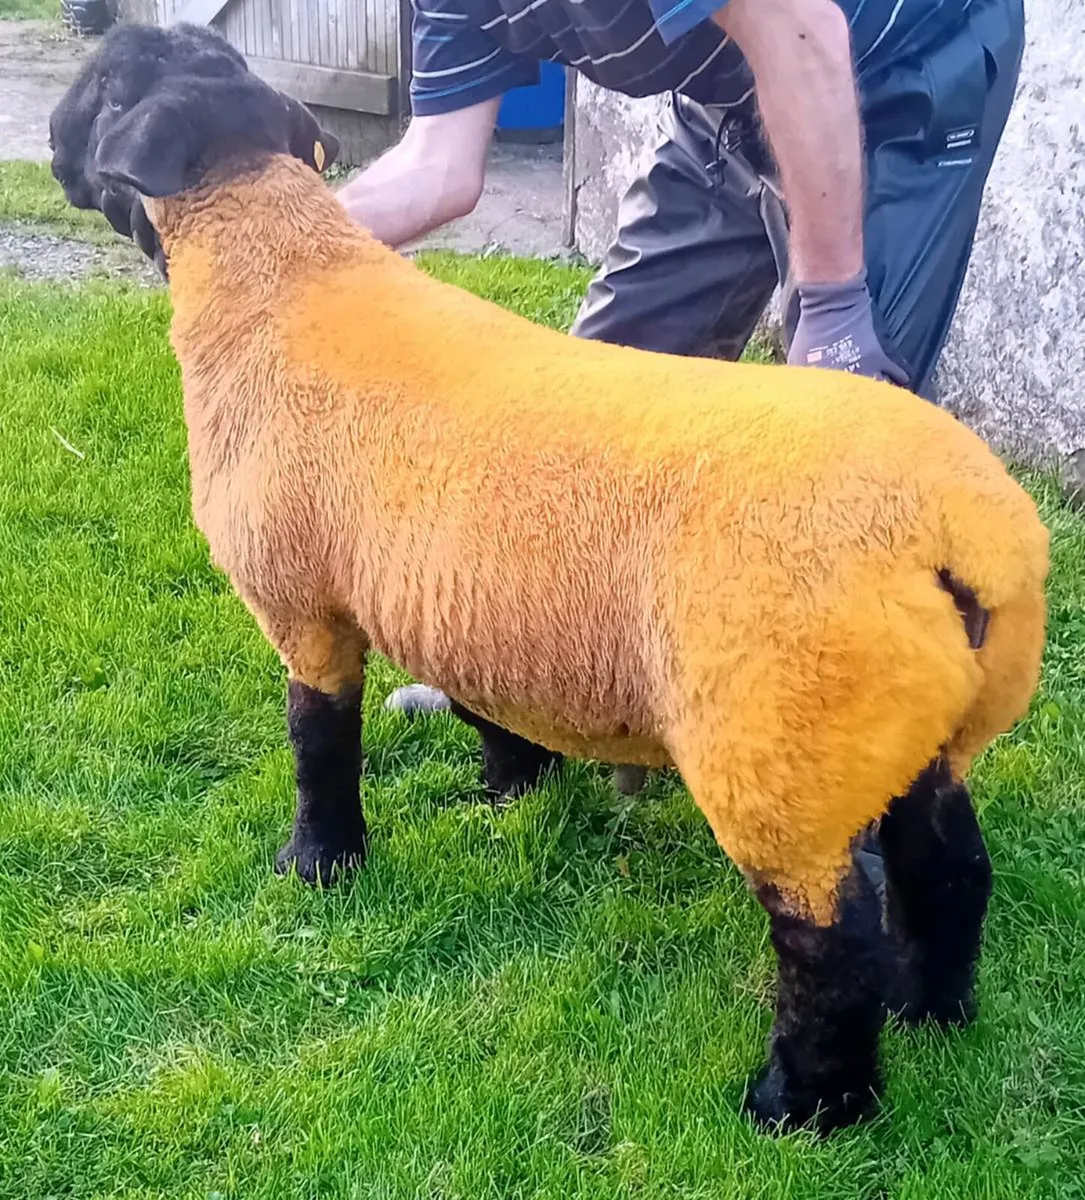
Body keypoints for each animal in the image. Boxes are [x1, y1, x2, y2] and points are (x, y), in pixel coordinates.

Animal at [50, 25, 1049, 1135]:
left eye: (99, 89)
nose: (49, 152)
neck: (274, 283)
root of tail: (963, 536)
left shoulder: (302, 604)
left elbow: (318, 742)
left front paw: (317, 866)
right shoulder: (477, 608)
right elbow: (491, 710)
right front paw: (507, 791)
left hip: (781, 750)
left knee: (832, 943)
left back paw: (801, 1106)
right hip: (923, 730)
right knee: (950, 869)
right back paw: (933, 1010)